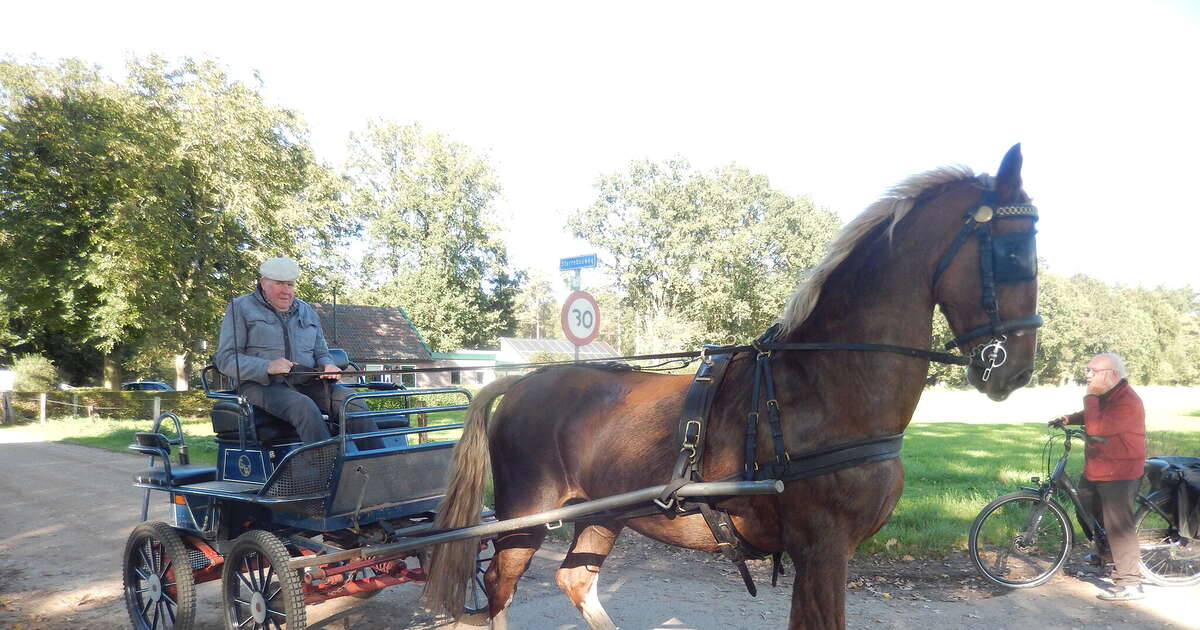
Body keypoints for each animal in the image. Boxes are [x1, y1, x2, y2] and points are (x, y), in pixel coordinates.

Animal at [424, 144, 1041, 629]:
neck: (822, 387)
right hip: (525, 518)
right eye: (1014, 251)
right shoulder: (823, 550)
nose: (1015, 370)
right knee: (500, 591)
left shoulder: (818, 556)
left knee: (575, 583)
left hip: (602, 514)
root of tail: (524, 382)